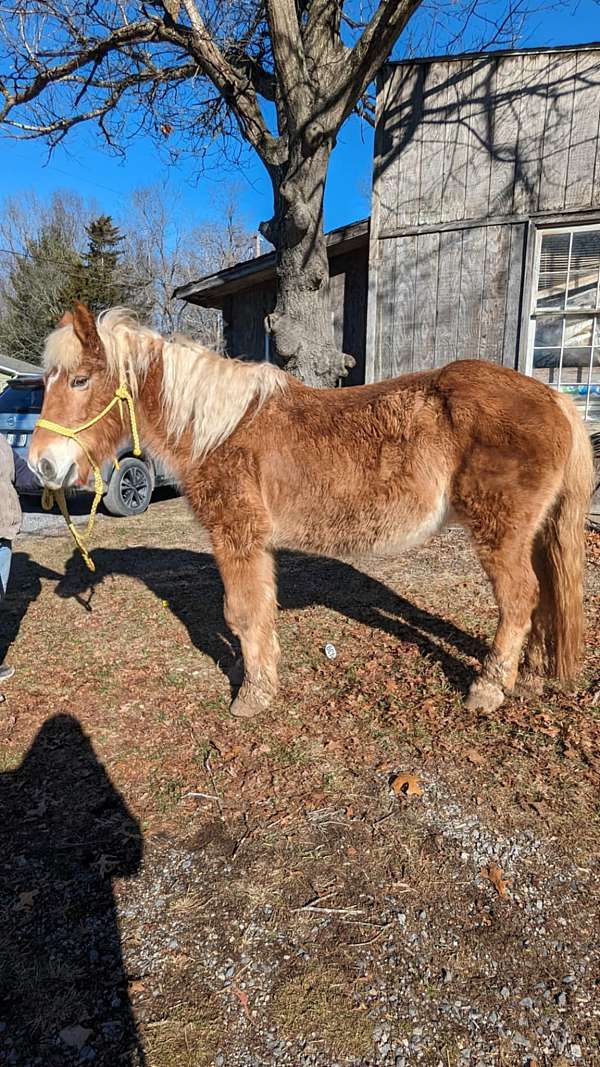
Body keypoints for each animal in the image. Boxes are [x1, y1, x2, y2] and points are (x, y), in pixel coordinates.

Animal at [30, 300, 589, 717]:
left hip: (500, 532)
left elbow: (242, 613)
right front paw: (263, 681)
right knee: (543, 598)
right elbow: (258, 610)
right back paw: (530, 679)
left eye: (79, 380)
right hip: (533, 533)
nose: (41, 464)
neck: (220, 429)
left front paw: (252, 696)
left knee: (519, 599)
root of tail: (554, 397)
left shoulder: (237, 536)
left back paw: (489, 689)